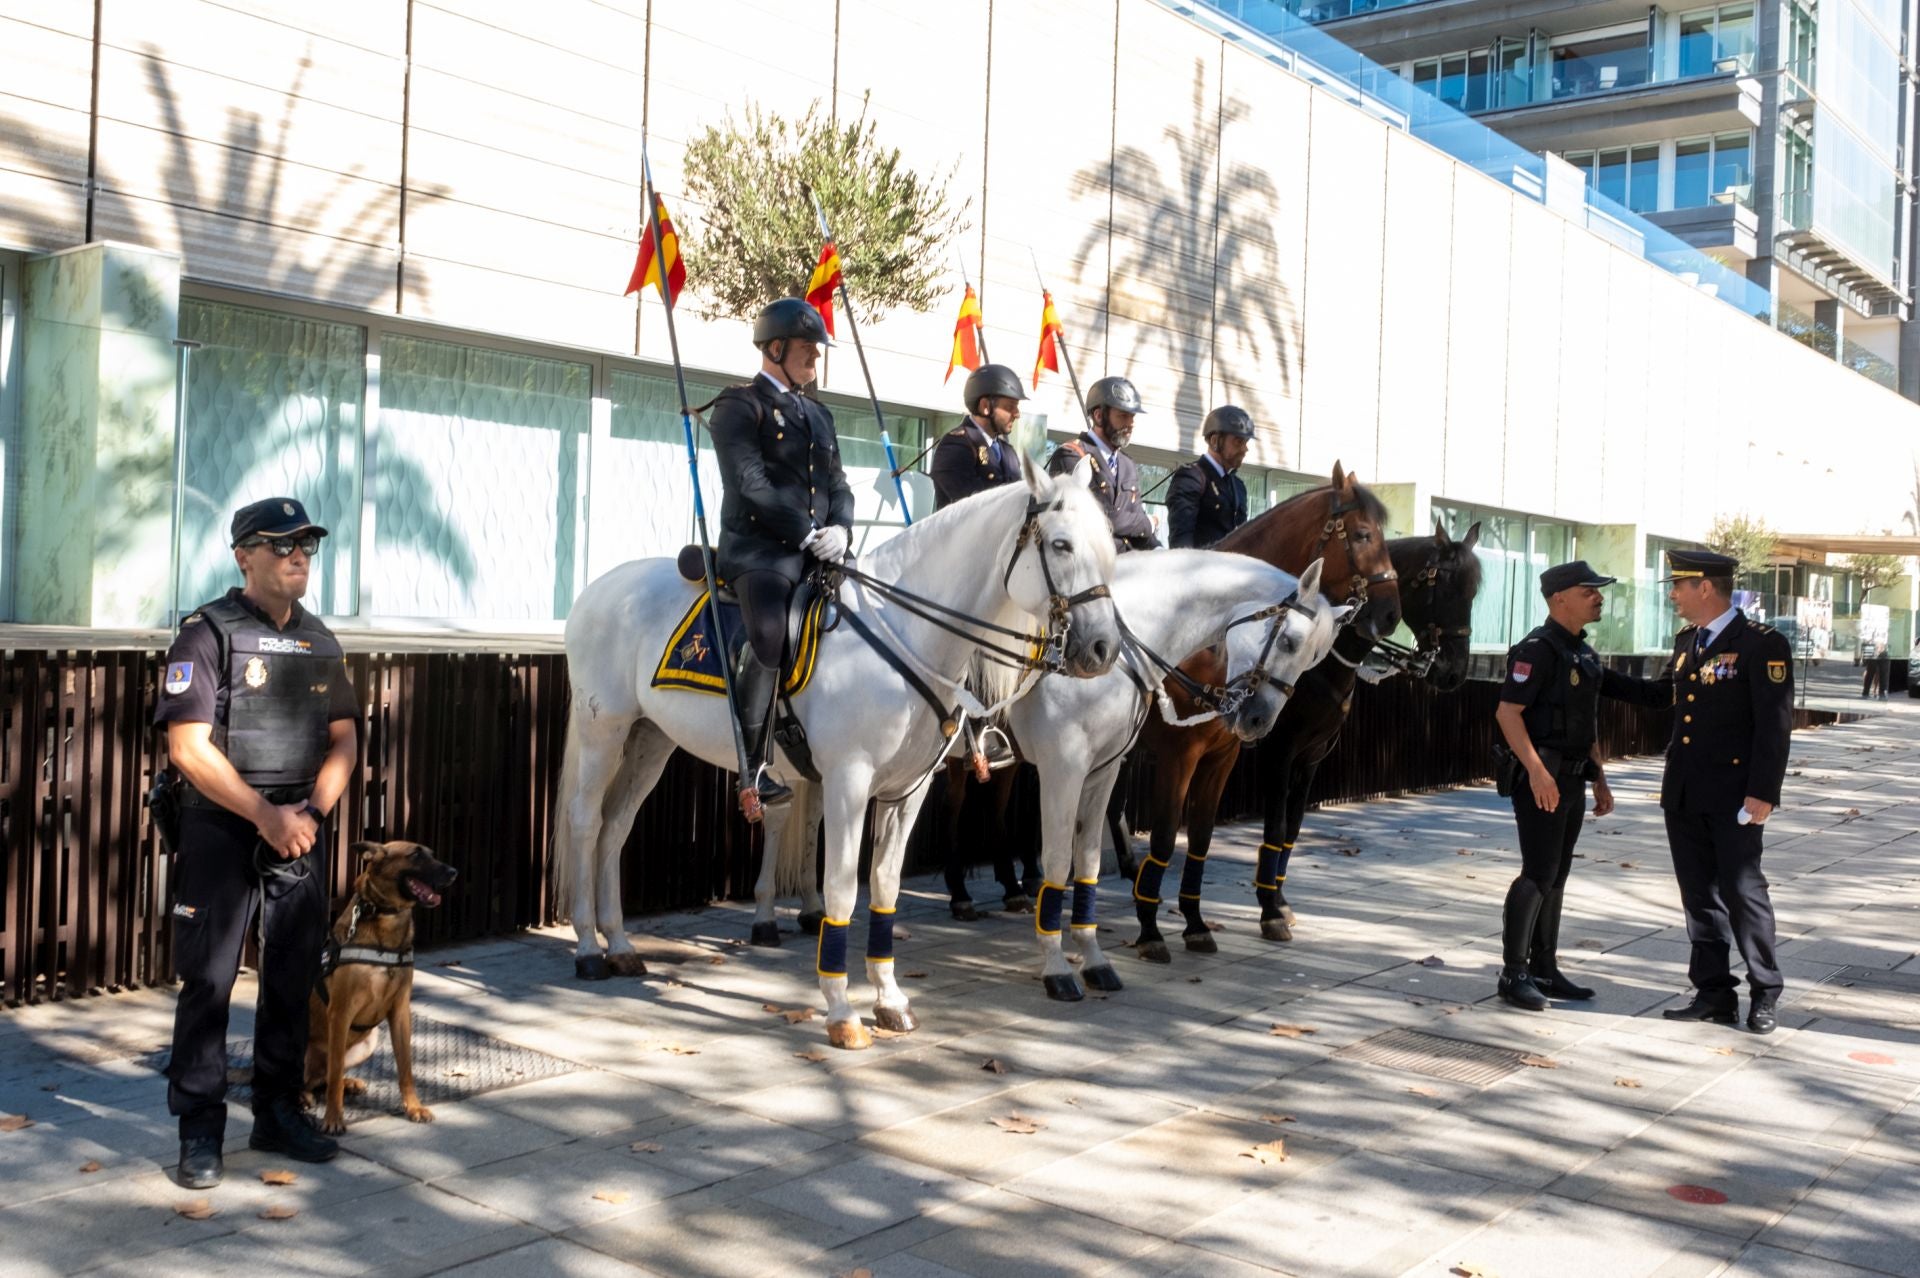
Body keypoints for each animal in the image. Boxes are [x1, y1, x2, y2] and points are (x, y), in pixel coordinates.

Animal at [305, 840, 458, 1128]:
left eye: (432, 854)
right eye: (416, 854)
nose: (453, 872)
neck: (385, 918)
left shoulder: (400, 1012)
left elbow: (406, 1068)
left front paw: (414, 1107)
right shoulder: (340, 1013)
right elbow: (333, 1078)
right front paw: (333, 1117)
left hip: (369, 1042)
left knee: (325, 1077)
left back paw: (348, 1083)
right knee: (313, 1079)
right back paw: (303, 1096)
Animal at [552, 468, 1121, 1043]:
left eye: (1108, 546)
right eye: (1061, 544)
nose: (1103, 649)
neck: (907, 631)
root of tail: (600, 587)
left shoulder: (908, 791)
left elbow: (884, 886)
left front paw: (889, 999)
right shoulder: (848, 782)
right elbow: (843, 888)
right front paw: (842, 1011)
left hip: (651, 739)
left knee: (616, 826)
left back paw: (619, 944)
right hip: (605, 732)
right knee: (586, 822)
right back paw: (588, 948)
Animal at [748, 552, 1351, 997]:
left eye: (1315, 657)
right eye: (1290, 642)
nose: (1256, 720)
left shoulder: (1107, 771)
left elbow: (1092, 862)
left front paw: (1098, 956)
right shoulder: (1069, 766)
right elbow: (1063, 860)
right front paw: (1061, 964)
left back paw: (804, 909)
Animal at [1121, 521, 1482, 955]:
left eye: (1474, 593)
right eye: (1443, 588)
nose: (1453, 672)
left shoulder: (1310, 756)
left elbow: (1290, 829)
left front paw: (1277, 901)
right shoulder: (1269, 752)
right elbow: (1273, 827)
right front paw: (1269, 911)